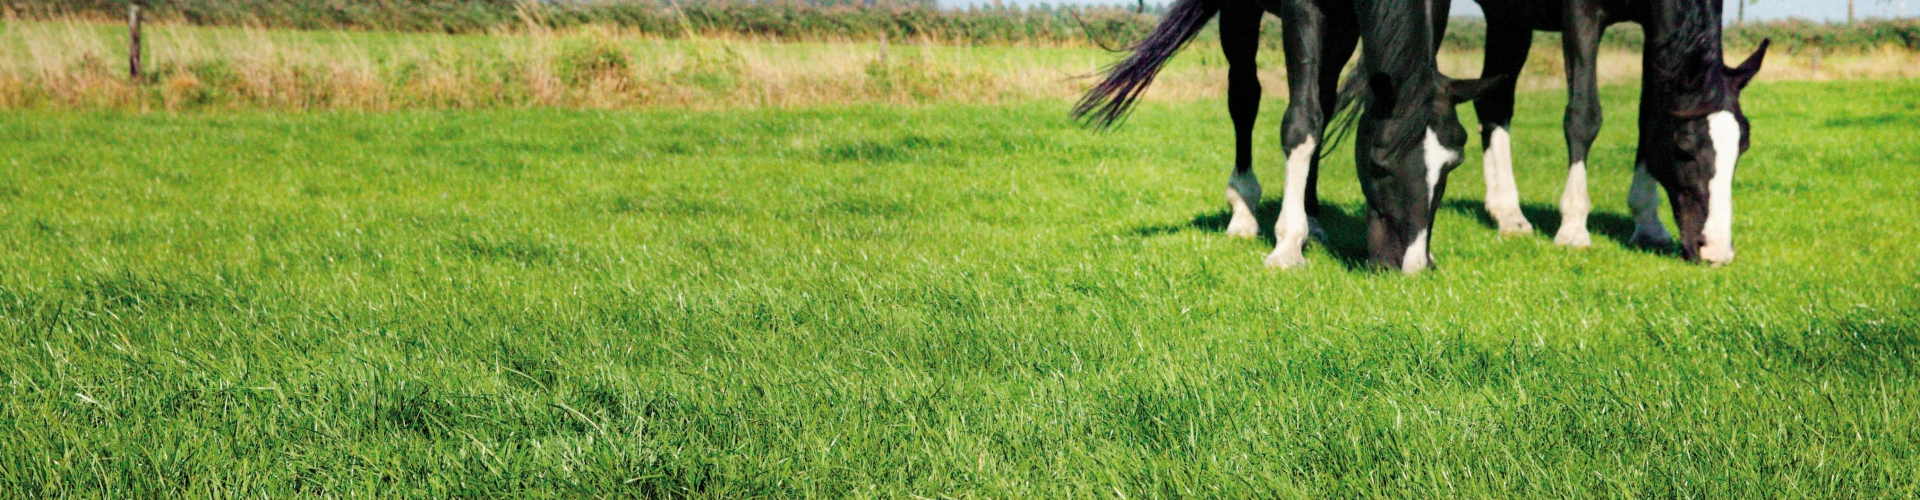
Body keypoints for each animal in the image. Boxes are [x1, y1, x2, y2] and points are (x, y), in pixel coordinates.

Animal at [1075, 0, 1495, 273]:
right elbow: (1301, 121)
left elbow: (1319, 113)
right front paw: (1288, 246)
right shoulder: (1302, 10)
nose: (1412, 265)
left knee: (1323, 97)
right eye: (1379, 163)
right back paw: (1243, 211)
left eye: (1453, 164)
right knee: (1244, 95)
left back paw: (1312, 215)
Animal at [1466, 0, 1766, 263]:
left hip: (1508, 19)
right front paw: (1573, 229)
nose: (1716, 250)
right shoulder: (1580, 13)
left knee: (1493, 102)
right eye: (1683, 147)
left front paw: (1648, 226)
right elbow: (1584, 116)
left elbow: (1649, 115)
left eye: (1743, 147)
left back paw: (1507, 214)